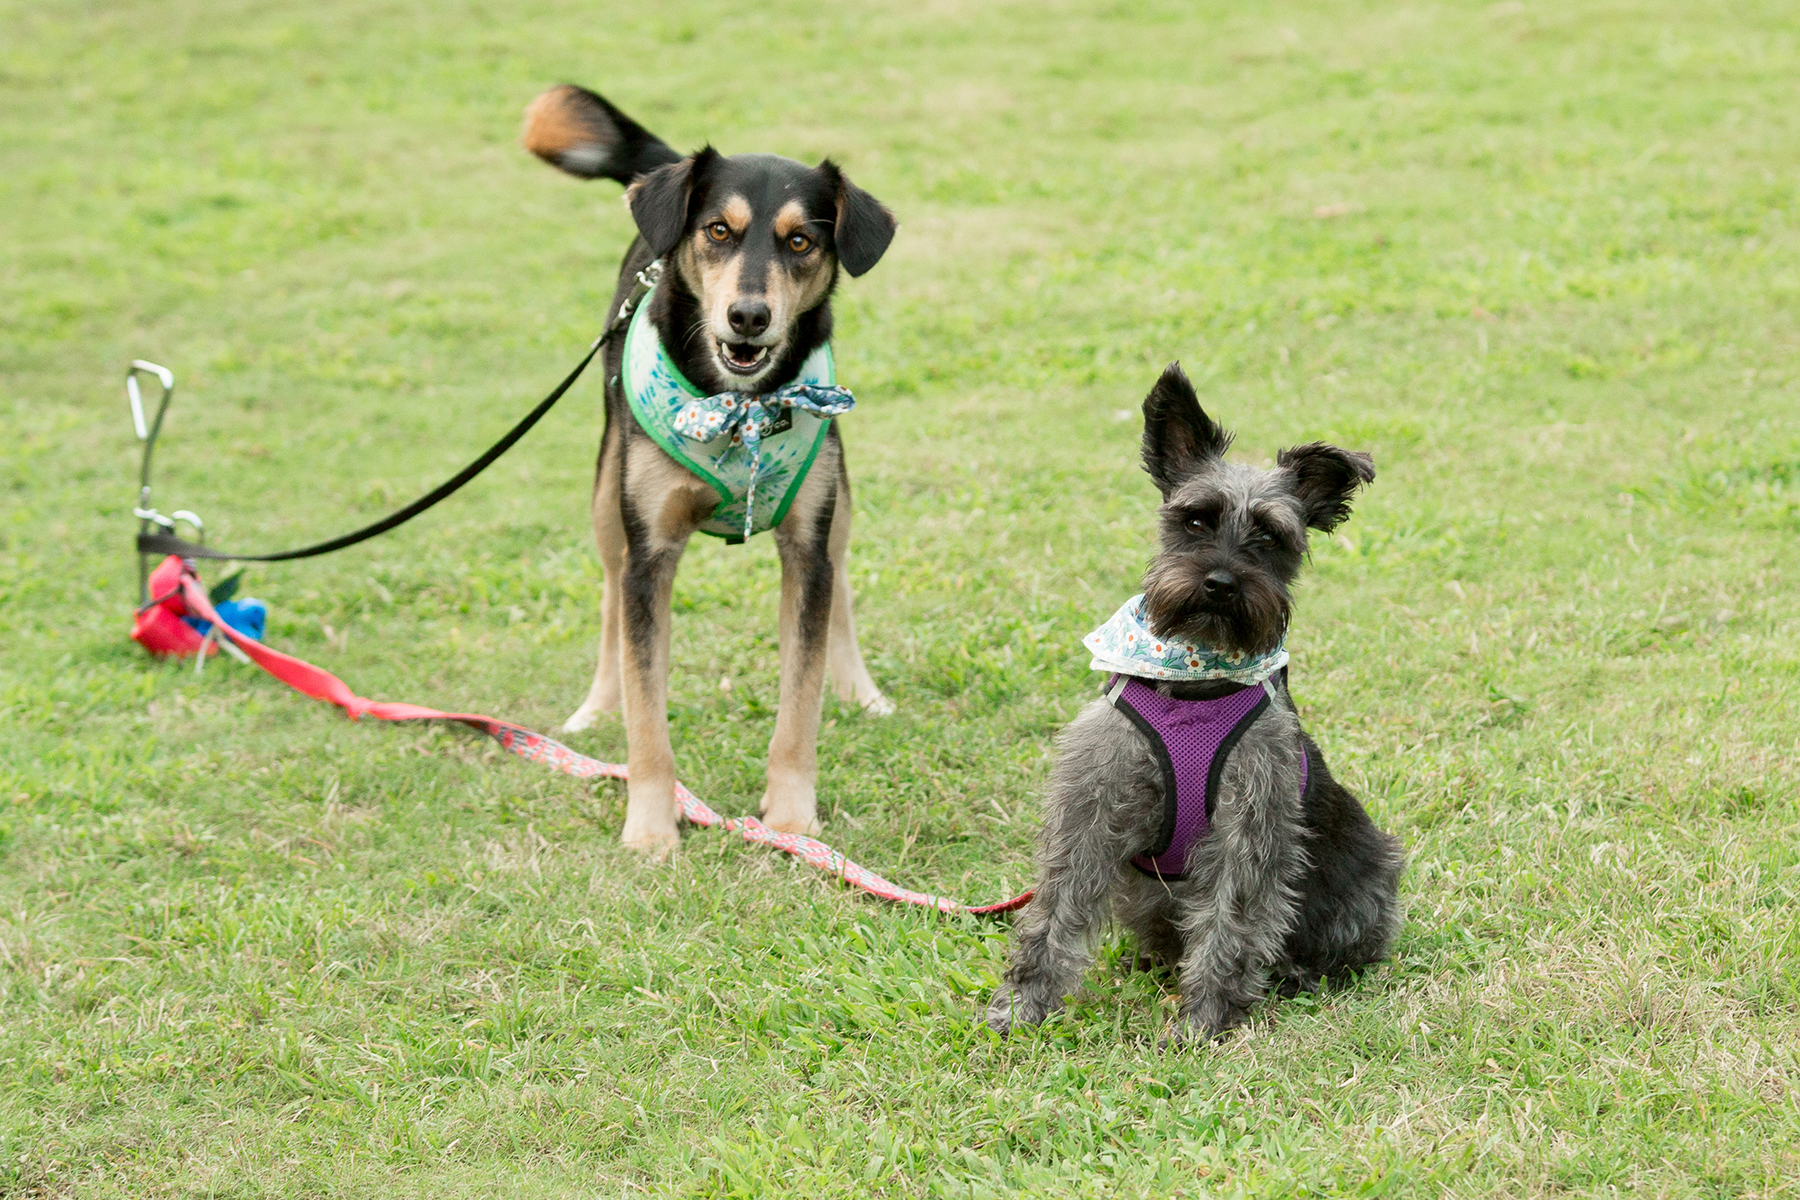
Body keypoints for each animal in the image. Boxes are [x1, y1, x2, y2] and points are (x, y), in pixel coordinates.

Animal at [522, 84, 892, 849]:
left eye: (801, 241)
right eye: (718, 231)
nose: (749, 316)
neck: (738, 406)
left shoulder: (806, 547)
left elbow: (800, 701)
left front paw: (792, 820)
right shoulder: (651, 554)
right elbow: (646, 715)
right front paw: (650, 829)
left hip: (838, 500)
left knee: (840, 586)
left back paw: (859, 690)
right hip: (607, 498)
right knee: (609, 602)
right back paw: (595, 707)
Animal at [993, 363, 1396, 1043]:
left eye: (1269, 536)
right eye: (1197, 521)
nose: (1221, 584)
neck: (1193, 685)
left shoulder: (1249, 828)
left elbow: (1230, 926)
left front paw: (1203, 1022)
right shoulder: (1091, 808)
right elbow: (1054, 912)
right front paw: (1023, 1004)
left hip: (1366, 881)